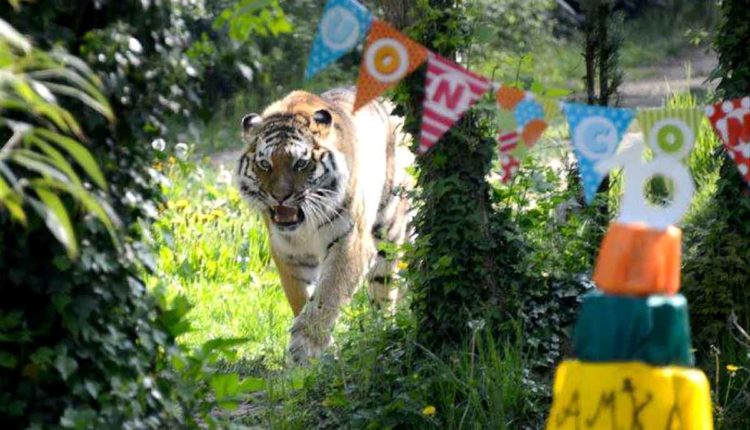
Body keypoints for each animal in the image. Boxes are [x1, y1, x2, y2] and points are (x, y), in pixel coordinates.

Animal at [235, 87, 414, 363]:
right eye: (264, 164)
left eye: (300, 163)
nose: (280, 196)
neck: (303, 227)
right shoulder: (288, 254)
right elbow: (302, 297)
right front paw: (312, 353)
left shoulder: (350, 242)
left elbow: (328, 293)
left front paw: (305, 346)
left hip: (389, 231)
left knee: (385, 290)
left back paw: (382, 329)